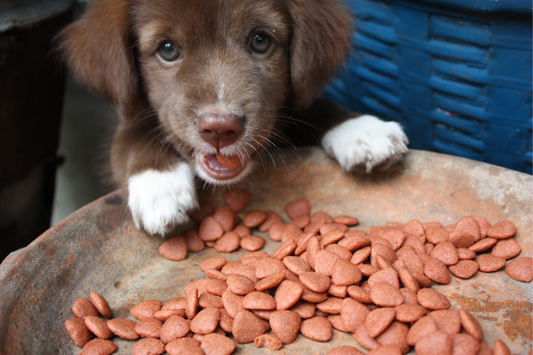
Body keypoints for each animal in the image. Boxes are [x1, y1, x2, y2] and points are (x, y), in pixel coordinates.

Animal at [59, 0, 408, 236]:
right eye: (167, 49)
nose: (219, 129)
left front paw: (362, 130)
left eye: (260, 40)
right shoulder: (128, 116)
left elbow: (312, 106)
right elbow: (133, 134)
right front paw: (159, 186)